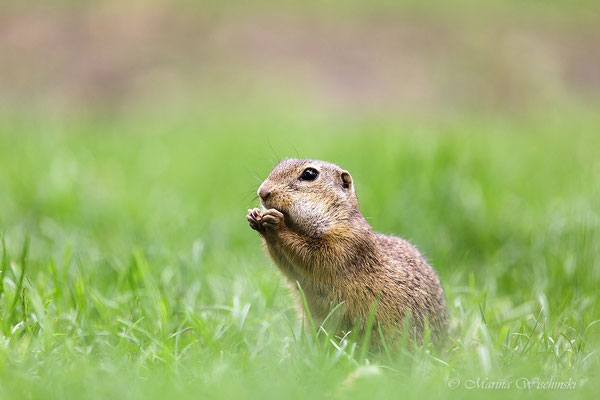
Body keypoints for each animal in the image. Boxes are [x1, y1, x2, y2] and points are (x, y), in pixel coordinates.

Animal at [246, 158, 448, 346]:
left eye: (309, 174)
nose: (262, 192)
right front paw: (254, 216)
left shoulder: (346, 243)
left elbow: (313, 255)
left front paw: (276, 224)